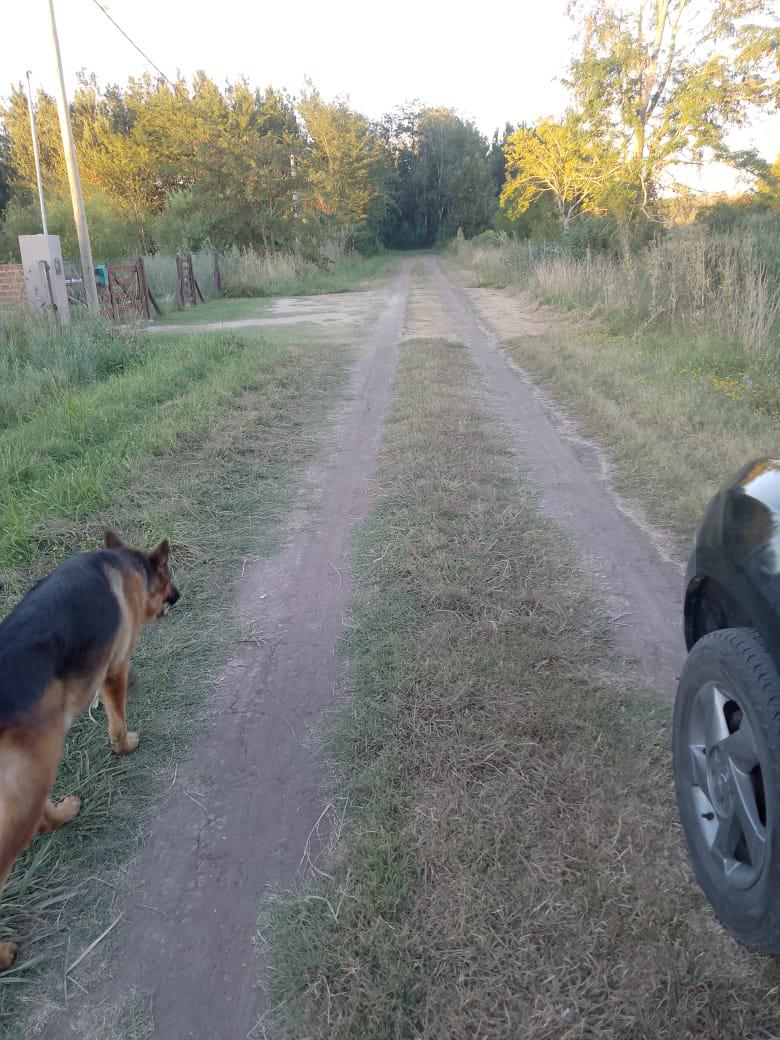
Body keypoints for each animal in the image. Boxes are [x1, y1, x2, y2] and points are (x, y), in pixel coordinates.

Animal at [0, 532, 179, 969]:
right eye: (169, 578)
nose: (180, 596)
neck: (126, 564)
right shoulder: (115, 666)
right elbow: (117, 718)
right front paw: (125, 745)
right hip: (33, 776)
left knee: (41, 818)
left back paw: (64, 812)